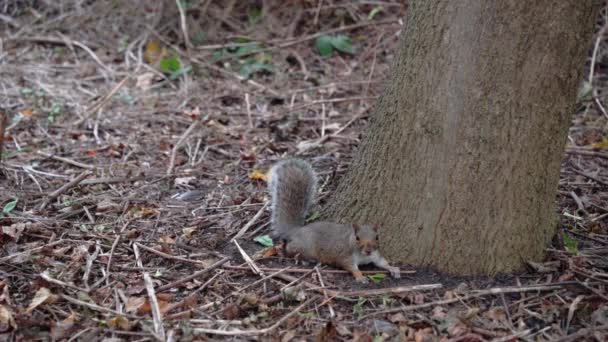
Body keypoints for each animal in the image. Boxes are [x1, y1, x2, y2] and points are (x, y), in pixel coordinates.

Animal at [268, 158, 402, 284]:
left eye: (377, 237)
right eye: (357, 238)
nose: (368, 250)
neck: (362, 254)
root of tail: (296, 231)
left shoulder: (375, 255)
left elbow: (382, 262)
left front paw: (393, 268)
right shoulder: (346, 256)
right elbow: (351, 267)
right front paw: (360, 277)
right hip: (305, 247)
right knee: (289, 249)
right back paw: (305, 260)